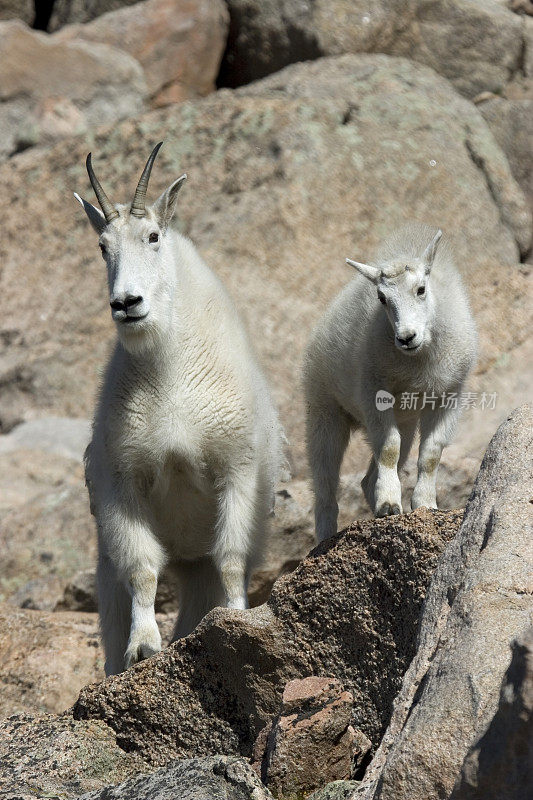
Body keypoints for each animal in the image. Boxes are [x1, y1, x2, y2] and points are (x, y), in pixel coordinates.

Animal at [76, 142, 282, 676]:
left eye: (152, 236)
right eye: (102, 247)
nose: (127, 303)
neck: (167, 375)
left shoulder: (237, 466)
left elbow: (231, 555)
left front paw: (238, 619)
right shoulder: (122, 482)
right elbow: (143, 570)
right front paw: (145, 646)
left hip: (199, 563)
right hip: (106, 568)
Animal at [304, 222, 478, 540]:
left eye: (421, 289)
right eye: (382, 298)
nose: (406, 337)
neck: (418, 360)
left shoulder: (447, 396)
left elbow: (431, 453)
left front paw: (424, 505)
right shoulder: (374, 393)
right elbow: (388, 448)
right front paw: (388, 504)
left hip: (405, 419)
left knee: (368, 476)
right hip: (324, 408)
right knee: (325, 483)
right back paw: (325, 535)